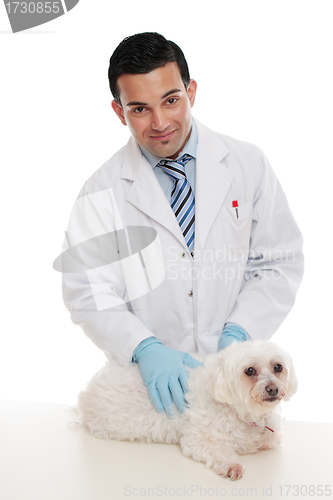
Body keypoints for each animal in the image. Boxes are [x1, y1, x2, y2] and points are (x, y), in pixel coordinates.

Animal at [77, 340, 296, 480]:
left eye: (278, 367)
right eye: (250, 370)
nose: (273, 388)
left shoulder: (272, 434)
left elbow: (272, 438)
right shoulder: (198, 439)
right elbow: (220, 452)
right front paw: (231, 465)